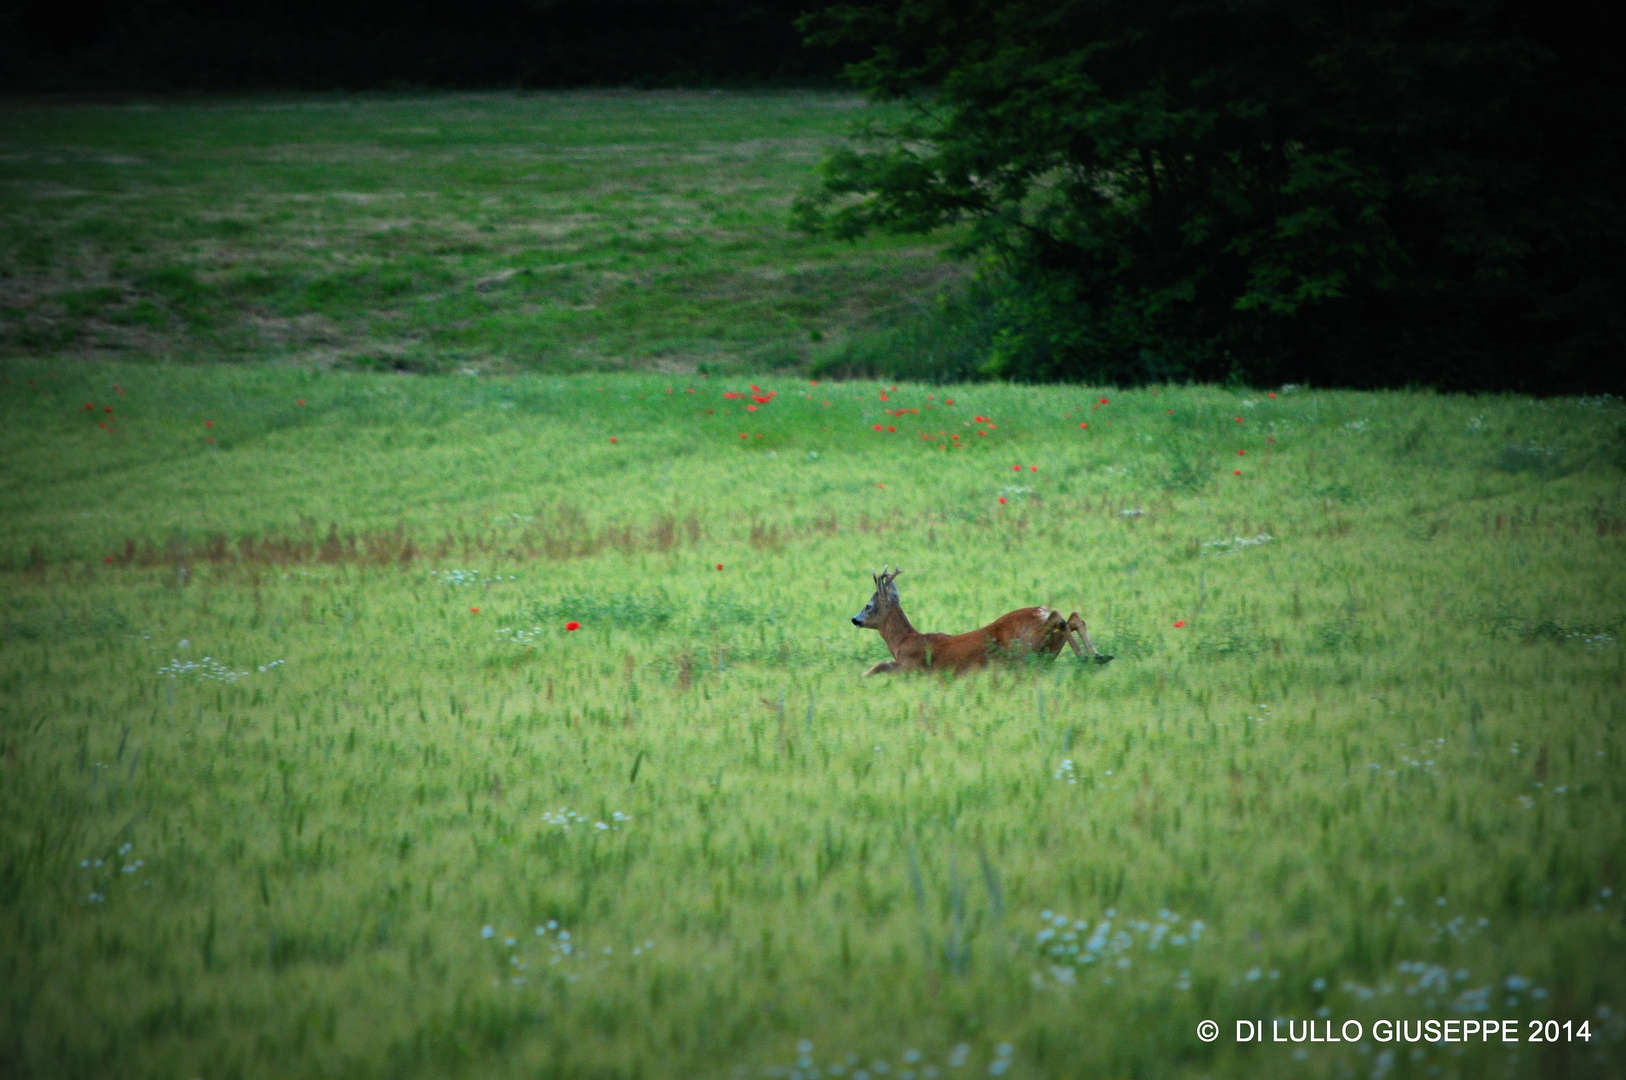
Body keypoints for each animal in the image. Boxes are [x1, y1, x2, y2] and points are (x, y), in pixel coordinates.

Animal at [852, 566, 1105, 676]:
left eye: (868, 606)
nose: (854, 619)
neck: (904, 642)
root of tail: (1039, 610)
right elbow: (879, 664)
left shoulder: (914, 669)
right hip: (1042, 653)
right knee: (1072, 618)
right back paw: (1097, 657)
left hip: (1024, 647)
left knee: (1058, 617)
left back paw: (1088, 657)